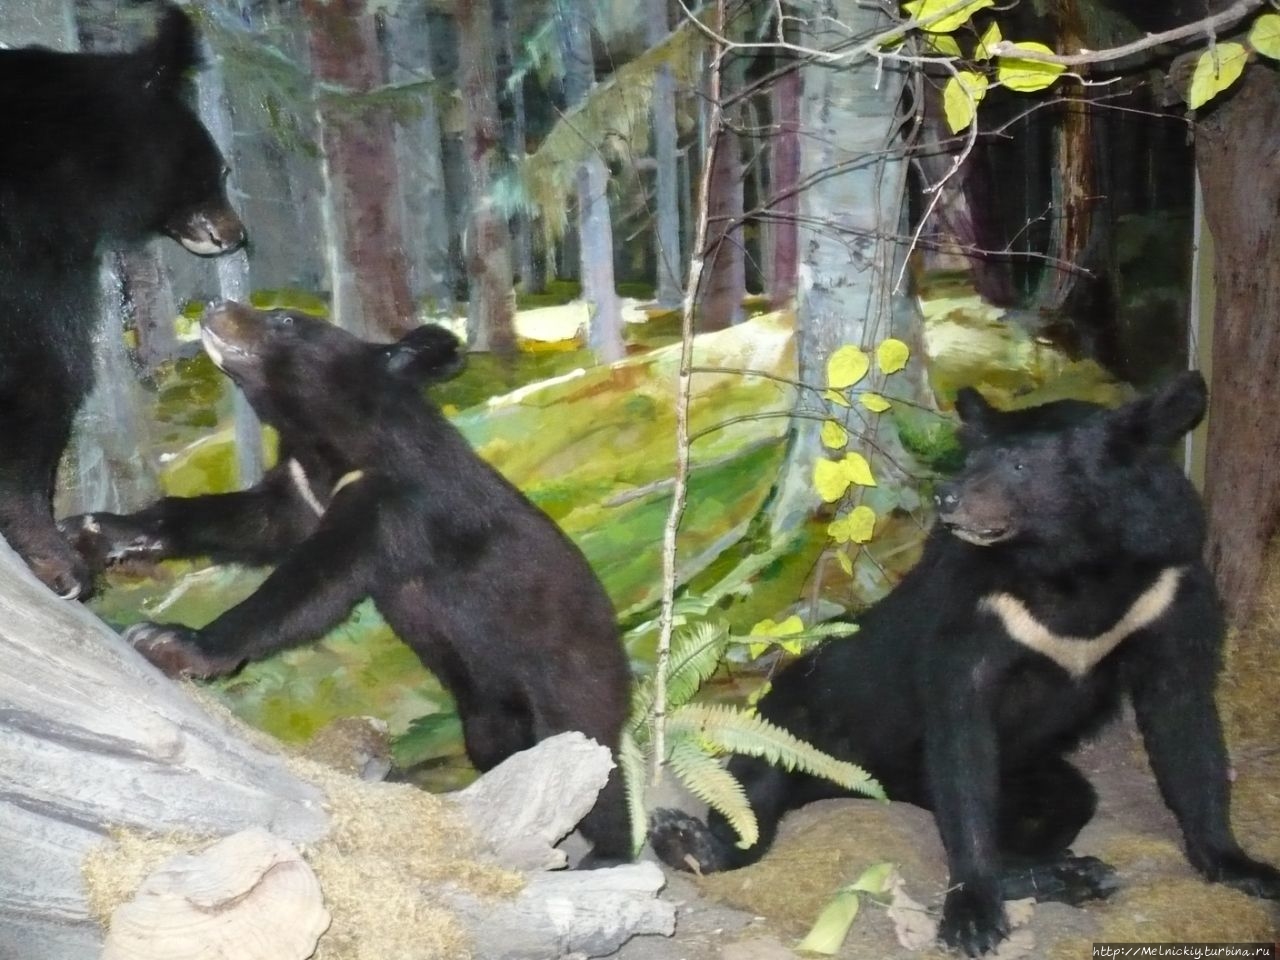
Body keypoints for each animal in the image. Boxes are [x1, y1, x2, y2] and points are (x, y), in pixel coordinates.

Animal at [655, 373, 1274, 957]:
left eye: (1021, 464)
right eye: (971, 459)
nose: (947, 498)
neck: (1070, 562)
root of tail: (888, 785)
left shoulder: (1167, 587)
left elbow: (1185, 719)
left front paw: (1242, 866)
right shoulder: (976, 606)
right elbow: (961, 729)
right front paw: (972, 918)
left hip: (1029, 772)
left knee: (1062, 806)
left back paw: (1070, 872)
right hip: (802, 714)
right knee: (755, 789)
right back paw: (689, 843)